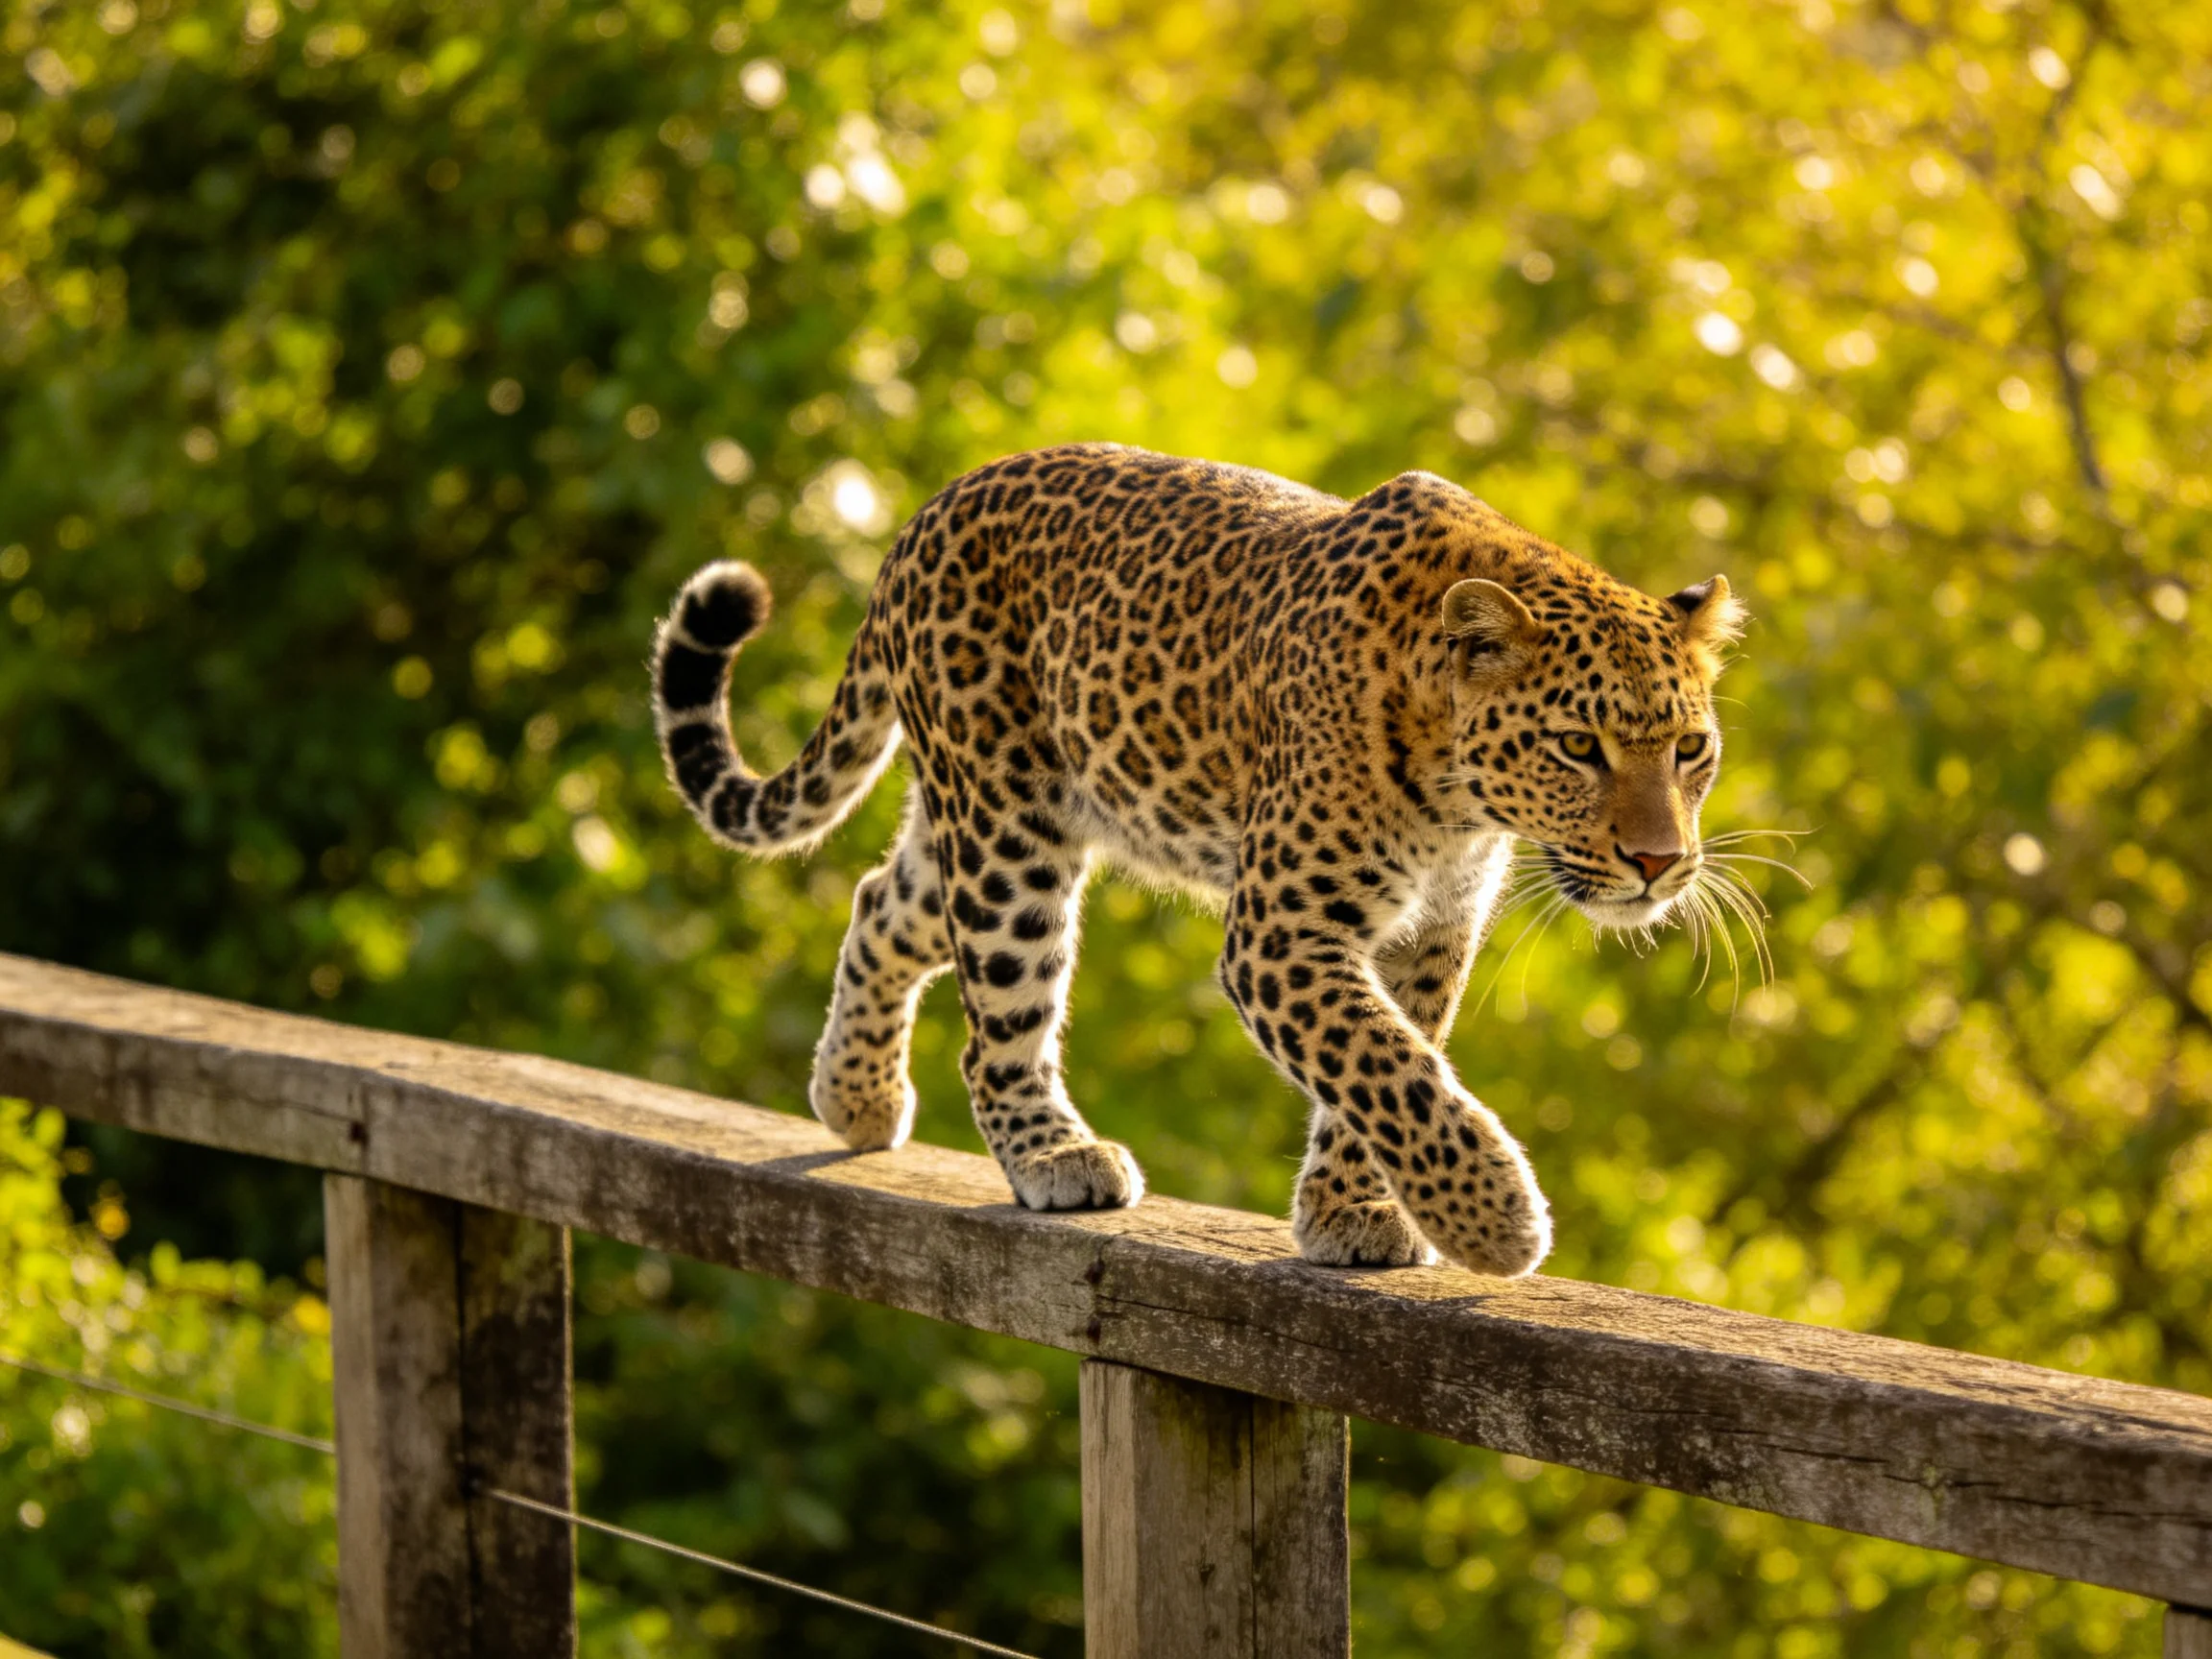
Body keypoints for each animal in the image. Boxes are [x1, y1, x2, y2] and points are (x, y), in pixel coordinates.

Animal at [652, 443, 1744, 1277]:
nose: (1659, 863)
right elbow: (1384, 1065)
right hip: (1011, 834)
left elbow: (1386, 1065)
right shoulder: (1283, 933)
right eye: (1578, 747)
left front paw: (1353, 1213)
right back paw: (1053, 1154)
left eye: (1690, 748)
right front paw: (1494, 1218)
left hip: (975, 821)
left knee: (884, 901)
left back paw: (857, 1098)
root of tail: (925, 514)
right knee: (999, 1014)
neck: (1457, 801)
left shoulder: (1427, 936)